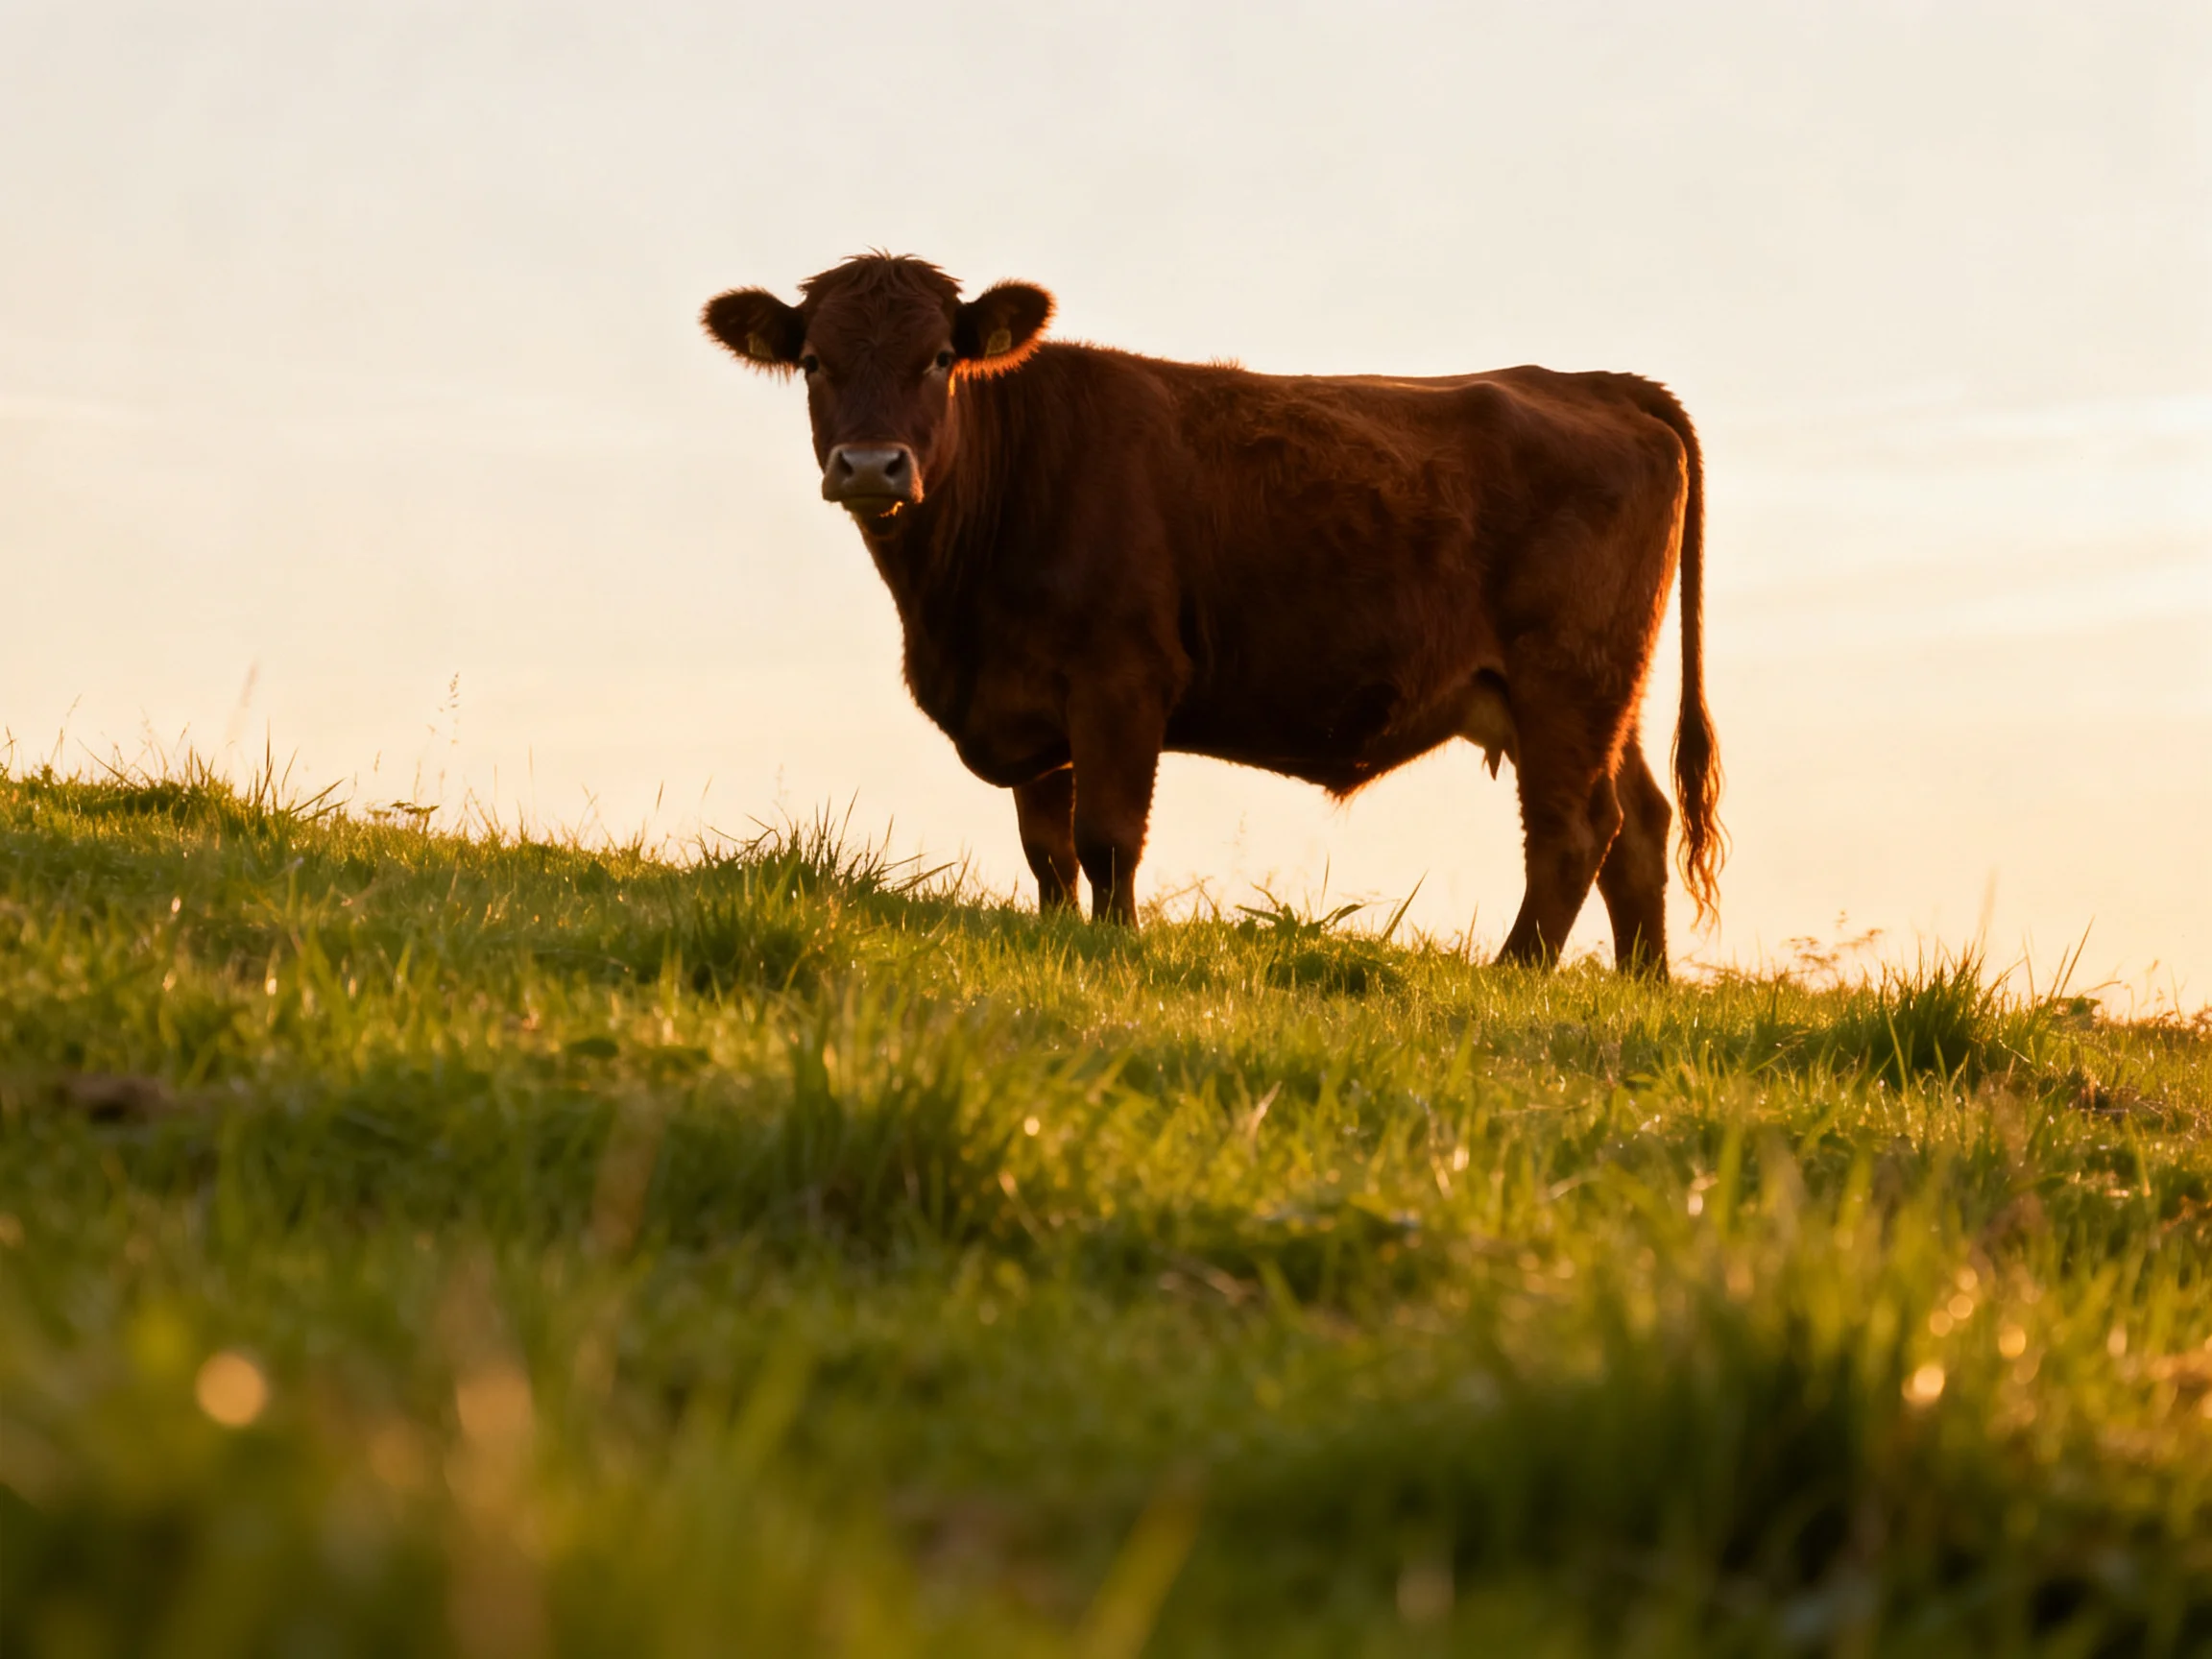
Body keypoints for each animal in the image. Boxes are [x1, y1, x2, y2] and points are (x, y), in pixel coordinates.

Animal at [702, 254, 1722, 973]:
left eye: (941, 359)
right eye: (814, 361)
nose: (872, 466)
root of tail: (1592, 380)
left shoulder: (1120, 679)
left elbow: (1107, 837)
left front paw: (1116, 952)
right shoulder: (1034, 698)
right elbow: (1046, 851)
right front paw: (1061, 942)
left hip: (1567, 680)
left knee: (1572, 831)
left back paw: (1513, 974)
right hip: (1594, 694)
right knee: (1639, 825)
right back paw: (1642, 987)